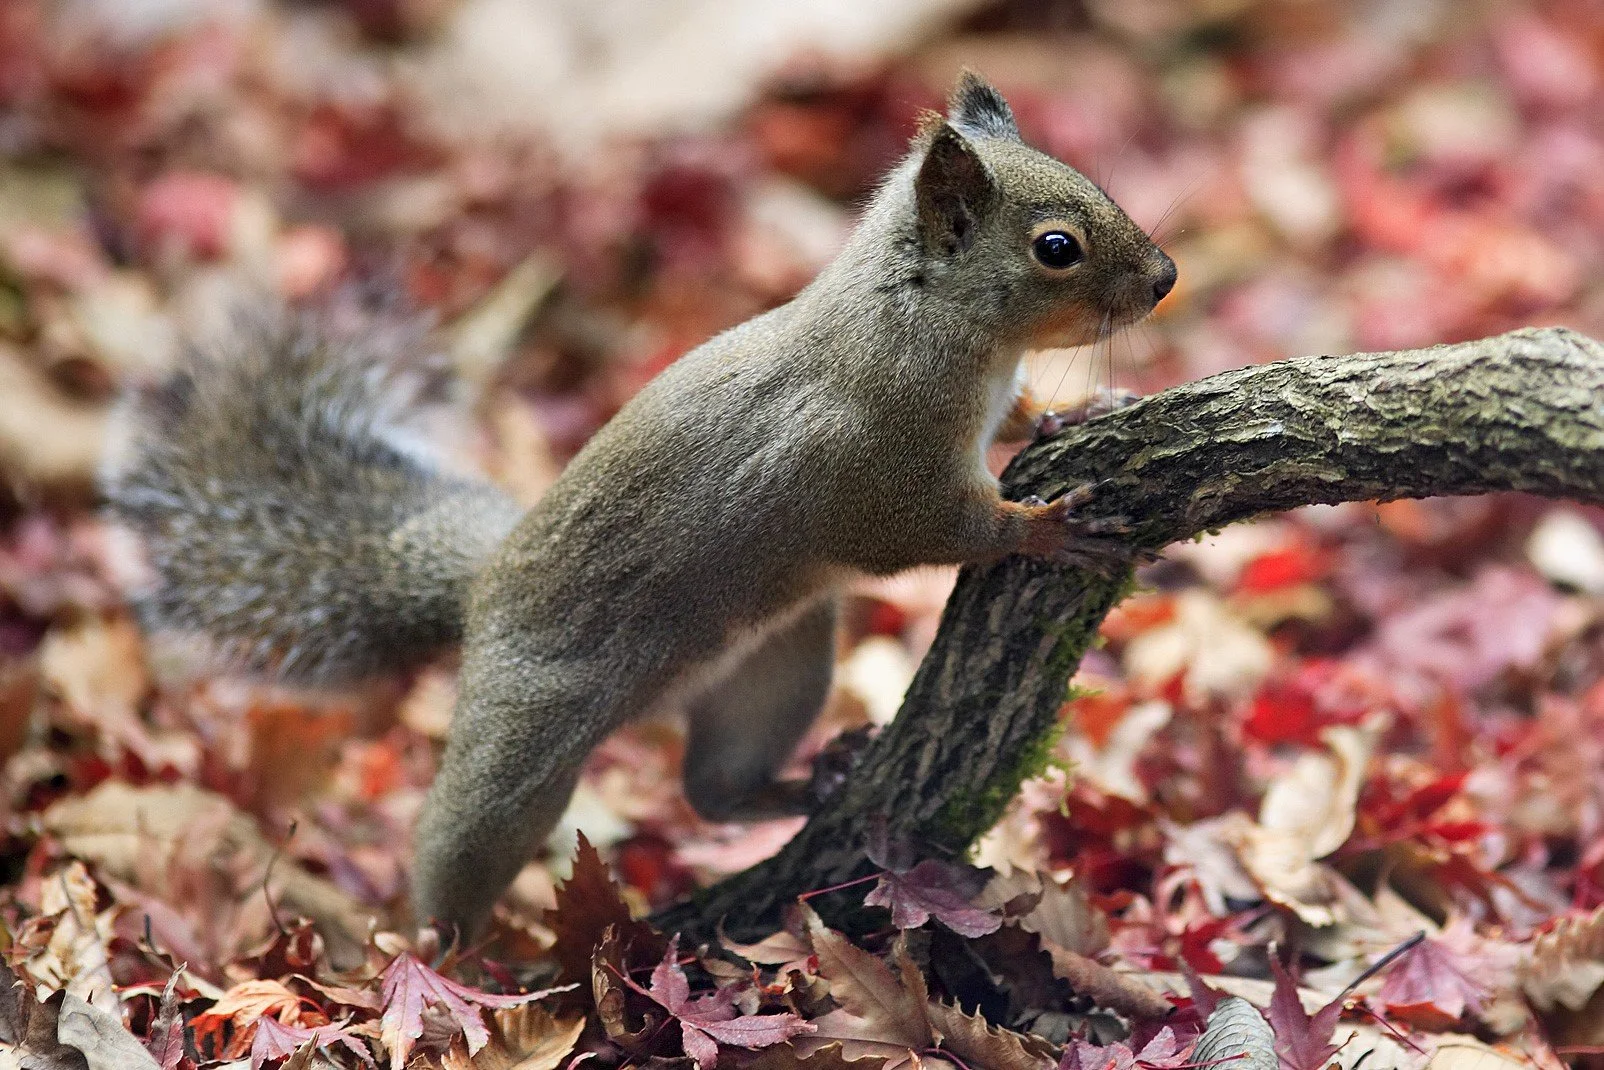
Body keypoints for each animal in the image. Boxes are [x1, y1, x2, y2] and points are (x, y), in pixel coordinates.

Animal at [105, 72, 1176, 938]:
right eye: (1056, 247)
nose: (1166, 279)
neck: (926, 322)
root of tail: (479, 593)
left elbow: (1020, 421)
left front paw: (1076, 409)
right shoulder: (875, 469)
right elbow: (930, 531)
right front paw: (1043, 530)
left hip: (775, 668)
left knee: (714, 789)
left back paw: (810, 779)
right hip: (524, 740)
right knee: (462, 838)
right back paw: (442, 959)